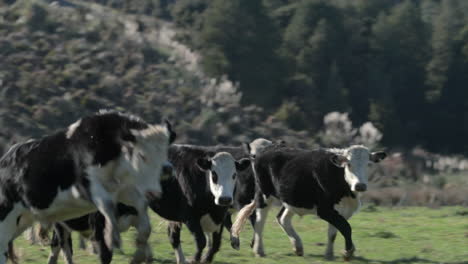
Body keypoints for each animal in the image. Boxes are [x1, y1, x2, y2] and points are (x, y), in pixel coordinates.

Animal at [0, 110, 176, 264]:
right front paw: (112, 236)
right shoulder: (87, 186)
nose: (167, 169)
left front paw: (139, 252)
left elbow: (142, 211)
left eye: (165, 151)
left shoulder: (124, 190)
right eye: (141, 155)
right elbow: (107, 207)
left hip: (22, 220)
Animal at [231, 143, 388, 260]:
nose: (360, 185)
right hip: (264, 194)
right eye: (348, 164)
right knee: (259, 221)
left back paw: (298, 247)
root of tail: (267, 149)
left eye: (368, 164)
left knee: (282, 218)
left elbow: (334, 232)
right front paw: (348, 251)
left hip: (292, 197)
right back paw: (259, 250)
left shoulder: (342, 210)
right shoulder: (325, 209)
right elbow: (345, 227)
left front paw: (329, 254)